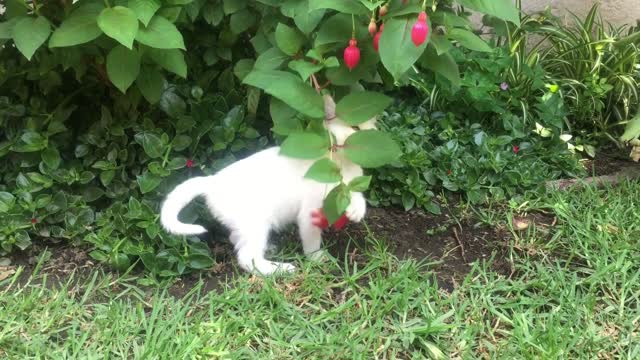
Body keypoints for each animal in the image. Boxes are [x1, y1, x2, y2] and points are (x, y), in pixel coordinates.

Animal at [159, 94, 376, 274]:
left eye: (372, 130)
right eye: (356, 128)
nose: (372, 138)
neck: (341, 163)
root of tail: (212, 180)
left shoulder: (351, 185)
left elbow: (355, 194)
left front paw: (356, 210)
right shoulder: (309, 213)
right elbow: (312, 240)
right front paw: (316, 258)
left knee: (238, 241)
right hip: (256, 221)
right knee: (247, 258)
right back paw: (279, 269)